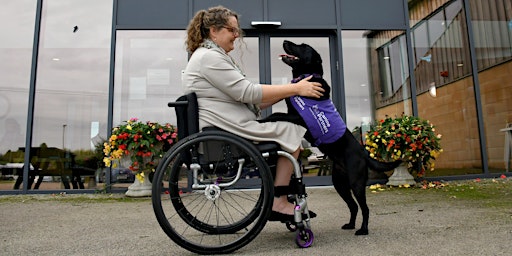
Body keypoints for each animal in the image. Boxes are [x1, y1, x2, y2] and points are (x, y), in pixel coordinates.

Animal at [260, 39, 400, 234]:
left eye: (302, 46)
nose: (285, 41)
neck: (306, 76)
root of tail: (364, 152)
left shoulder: (299, 118)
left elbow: (276, 114)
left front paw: (260, 119)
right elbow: (278, 113)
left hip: (356, 182)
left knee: (364, 207)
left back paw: (363, 229)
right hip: (339, 183)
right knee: (353, 206)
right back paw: (350, 225)